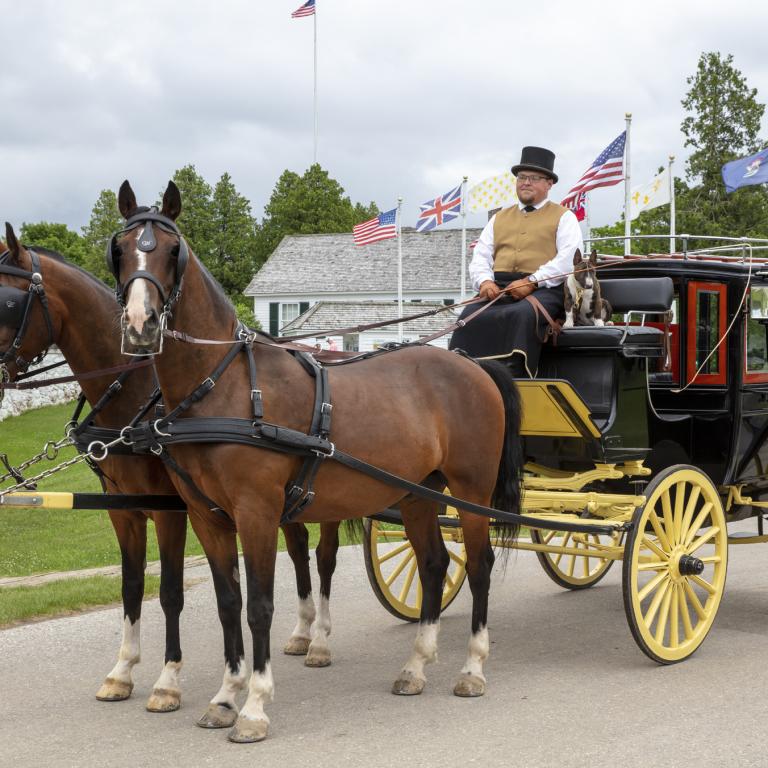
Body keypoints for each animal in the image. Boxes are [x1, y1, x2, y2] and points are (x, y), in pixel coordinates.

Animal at [0, 228, 342, 712]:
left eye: (7, 302)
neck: (137, 392)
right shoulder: (122, 508)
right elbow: (131, 586)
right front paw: (122, 671)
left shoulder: (171, 509)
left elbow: (171, 593)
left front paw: (167, 680)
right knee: (296, 548)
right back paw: (301, 631)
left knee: (325, 556)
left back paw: (321, 641)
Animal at [112, 182, 520, 744]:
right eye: (119, 248)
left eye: (173, 251)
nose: (140, 324)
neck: (224, 387)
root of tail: (474, 366)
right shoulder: (205, 517)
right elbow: (227, 604)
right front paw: (225, 696)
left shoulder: (257, 512)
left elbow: (260, 606)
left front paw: (255, 706)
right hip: (419, 491)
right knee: (436, 564)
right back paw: (416, 664)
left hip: (470, 489)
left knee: (477, 566)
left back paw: (472, 668)